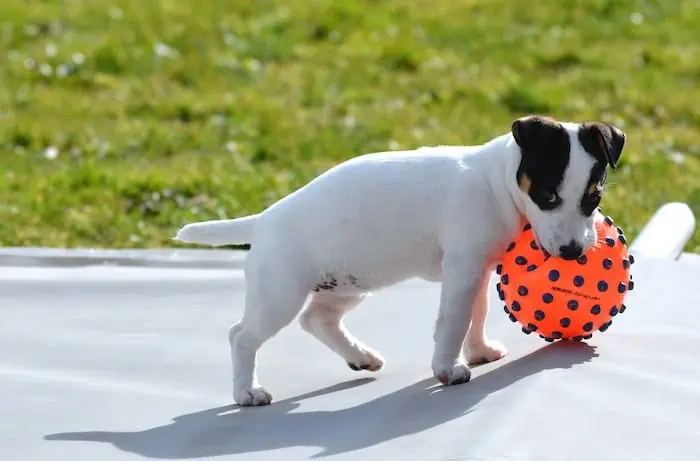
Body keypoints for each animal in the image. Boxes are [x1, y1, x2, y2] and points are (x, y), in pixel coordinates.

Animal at [176, 115, 628, 406]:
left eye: (593, 199)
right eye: (547, 196)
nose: (573, 252)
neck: (496, 180)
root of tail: (264, 220)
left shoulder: (477, 268)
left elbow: (477, 314)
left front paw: (479, 350)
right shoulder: (463, 268)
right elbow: (454, 321)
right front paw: (449, 368)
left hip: (346, 284)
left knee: (317, 319)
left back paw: (360, 356)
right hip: (279, 293)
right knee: (242, 335)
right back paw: (246, 392)